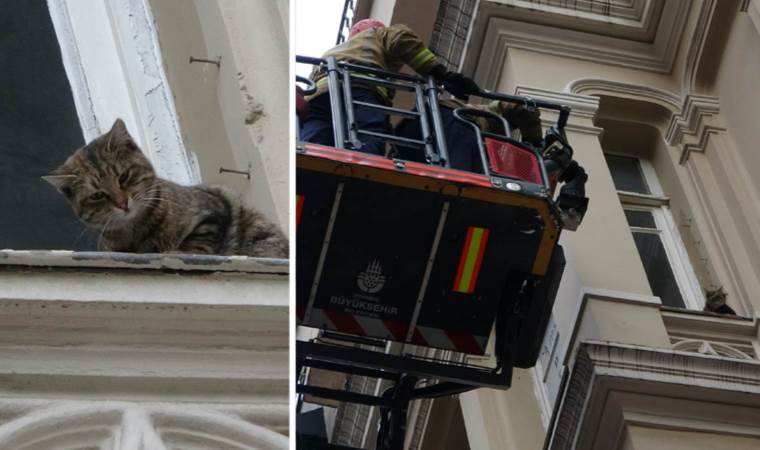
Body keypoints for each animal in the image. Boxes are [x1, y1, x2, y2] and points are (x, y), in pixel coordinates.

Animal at [43, 119, 290, 258]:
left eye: (124, 176)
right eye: (97, 195)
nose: (122, 203)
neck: (136, 232)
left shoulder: (213, 208)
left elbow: (197, 241)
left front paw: (179, 250)